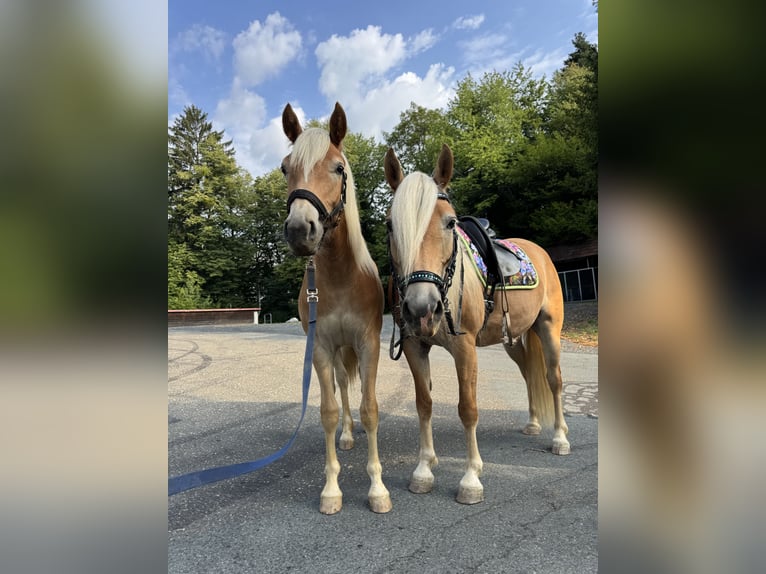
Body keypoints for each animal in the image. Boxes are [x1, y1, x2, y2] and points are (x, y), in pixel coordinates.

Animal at [280, 102, 391, 515]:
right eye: (285, 168)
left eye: (338, 168)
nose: (300, 230)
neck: (342, 277)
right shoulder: (322, 348)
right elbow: (328, 411)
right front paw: (331, 489)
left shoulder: (368, 343)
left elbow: (370, 408)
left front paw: (377, 488)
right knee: (343, 387)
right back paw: (346, 434)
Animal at [383, 144, 570, 505]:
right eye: (390, 226)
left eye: (450, 222)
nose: (422, 308)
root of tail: (539, 252)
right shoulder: (414, 346)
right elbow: (423, 405)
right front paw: (423, 470)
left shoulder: (464, 347)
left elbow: (467, 408)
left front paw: (470, 479)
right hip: (513, 340)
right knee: (530, 375)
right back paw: (533, 424)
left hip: (549, 329)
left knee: (553, 379)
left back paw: (560, 438)